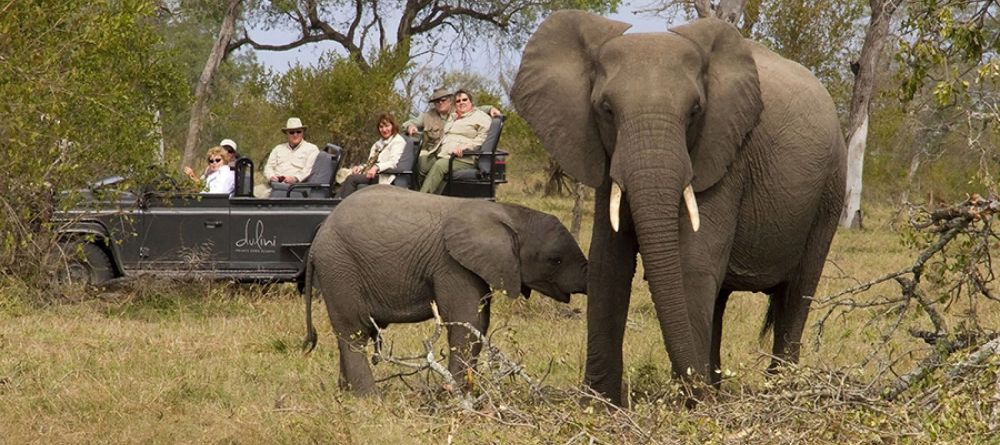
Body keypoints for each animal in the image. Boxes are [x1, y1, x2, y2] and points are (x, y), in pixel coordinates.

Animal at [512, 10, 848, 402]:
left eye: (695, 111)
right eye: (606, 110)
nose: (697, 395)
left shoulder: (724, 155)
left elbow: (692, 265)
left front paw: (689, 405)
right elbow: (608, 264)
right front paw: (599, 404)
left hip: (831, 188)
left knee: (798, 292)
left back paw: (775, 391)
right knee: (722, 297)